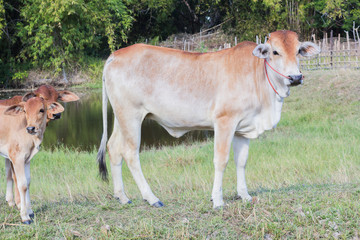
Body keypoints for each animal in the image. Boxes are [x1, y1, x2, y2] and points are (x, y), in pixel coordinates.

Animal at [96, 31, 320, 209]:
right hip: (131, 115)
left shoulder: (243, 128)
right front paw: (217, 200)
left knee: (114, 148)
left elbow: (241, 161)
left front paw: (245, 195)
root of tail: (115, 55)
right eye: (275, 52)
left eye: (298, 51)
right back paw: (152, 198)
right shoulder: (225, 122)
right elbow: (221, 160)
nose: (295, 77)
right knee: (130, 153)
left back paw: (122, 196)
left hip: (121, 117)